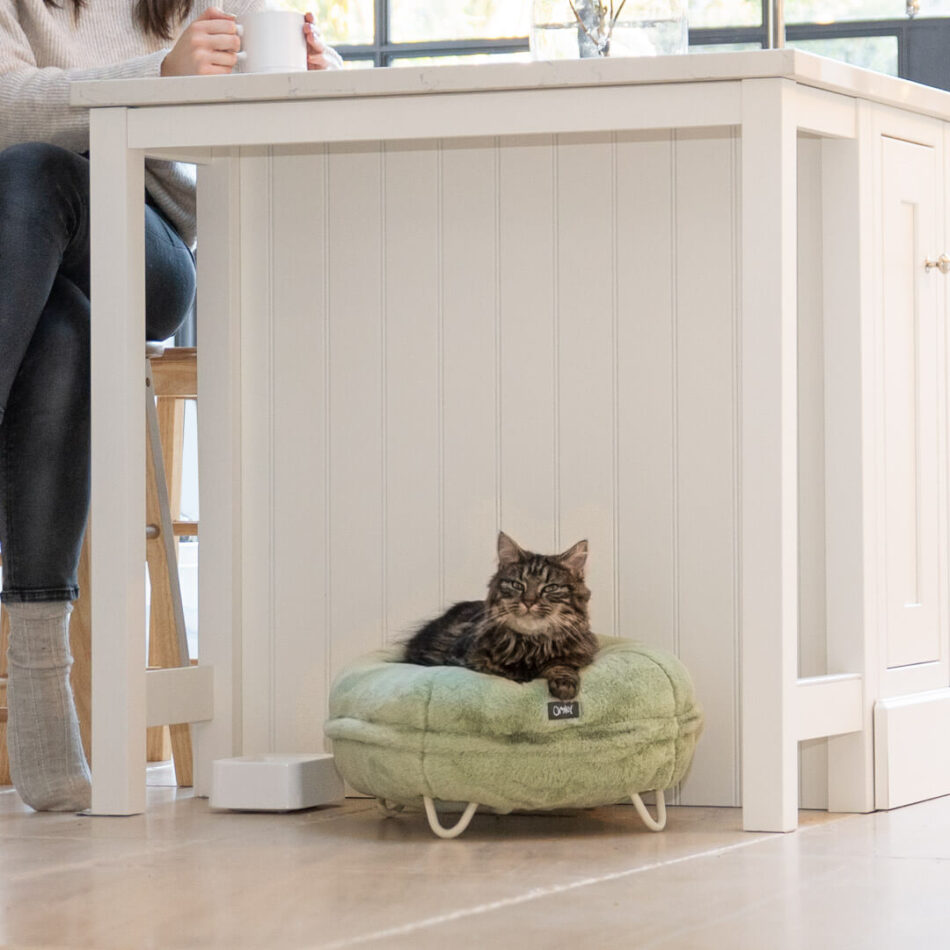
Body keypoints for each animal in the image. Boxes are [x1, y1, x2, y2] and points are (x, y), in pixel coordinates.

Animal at [406, 532, 600, 704]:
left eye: (550, 588)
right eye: (517, 585)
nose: (528, 602)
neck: (531, 645)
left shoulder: (579, 653)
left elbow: (562, 666)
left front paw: (564, 685)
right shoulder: (465, 658)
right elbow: (494, 668)